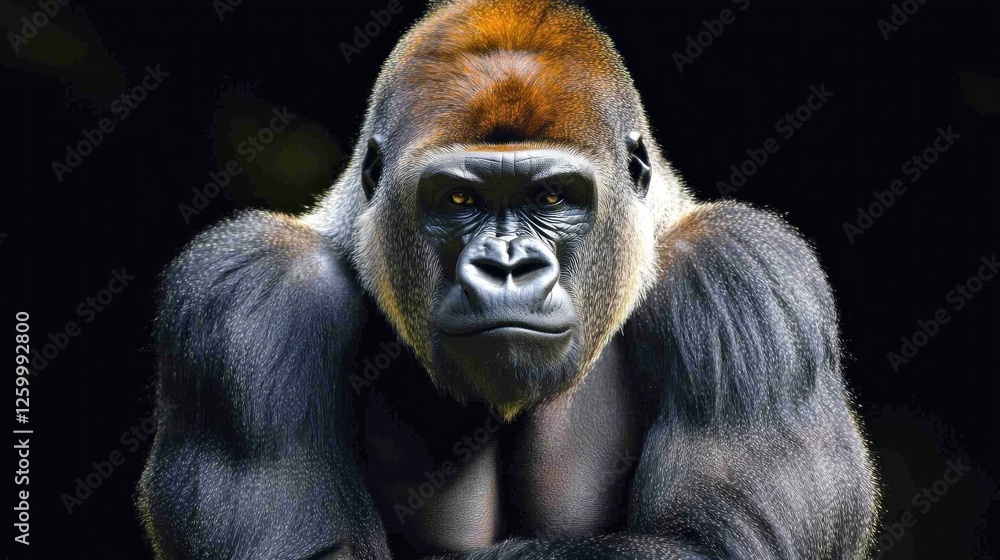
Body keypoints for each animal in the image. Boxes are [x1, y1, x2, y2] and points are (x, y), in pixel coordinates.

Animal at [138, 0, 879, 558]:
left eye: (552, 197)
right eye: (457, 199)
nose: (508, 265)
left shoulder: (742, 273)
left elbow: (712, 548)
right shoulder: (250, 292)